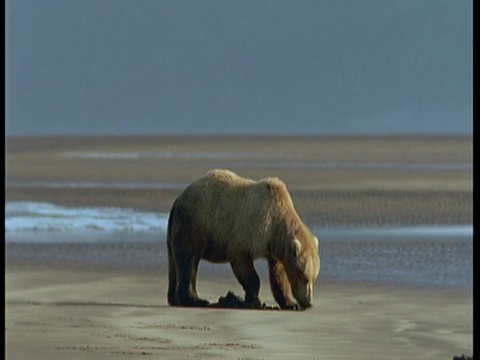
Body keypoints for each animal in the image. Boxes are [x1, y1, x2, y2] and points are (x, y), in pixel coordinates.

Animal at [167, 169, 320, 310]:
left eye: (314, 278)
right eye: (304, 277)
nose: (309, 303)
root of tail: (178, 200)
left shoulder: (274, 248)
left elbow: (278, 274)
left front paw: (290, 303)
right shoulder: (251, 230)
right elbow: (242, 262)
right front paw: (254, 300)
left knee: (175, 262)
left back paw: (174, 298)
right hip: (195, 222)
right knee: (188, 260)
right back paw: (195, 299)